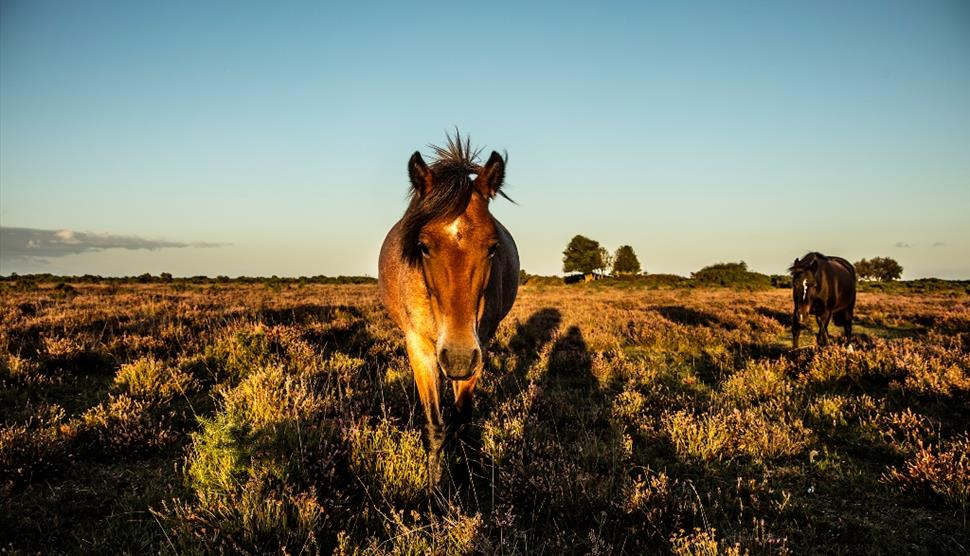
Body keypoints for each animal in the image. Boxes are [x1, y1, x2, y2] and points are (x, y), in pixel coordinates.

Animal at [374, 134, 520, 482]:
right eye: (423, 246)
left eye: (493, 247)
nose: (457, 356)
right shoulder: (419, 347)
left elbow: (462, 419)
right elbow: (435, 427)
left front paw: (468, 476)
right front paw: (435, 489)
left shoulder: (480, 347)